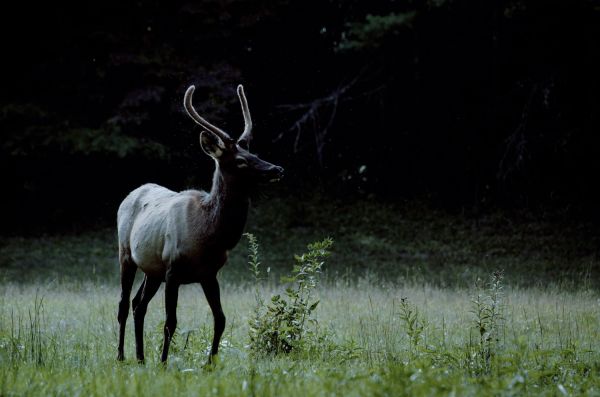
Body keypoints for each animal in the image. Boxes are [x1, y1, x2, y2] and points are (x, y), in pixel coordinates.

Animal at [118, 84, 286, 366]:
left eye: (254, 153)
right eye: (241, 161)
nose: (277, 169)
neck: (209, 236)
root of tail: (130, 193)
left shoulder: (209, 274)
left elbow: (221, 319)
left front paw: (210, 363)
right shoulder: (173, 269)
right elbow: (170, 322)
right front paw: (164, 363)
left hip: (152, 269)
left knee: (138, 304)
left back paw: (140, 358)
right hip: (126, 254)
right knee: (123, 304)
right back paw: (121, 356)